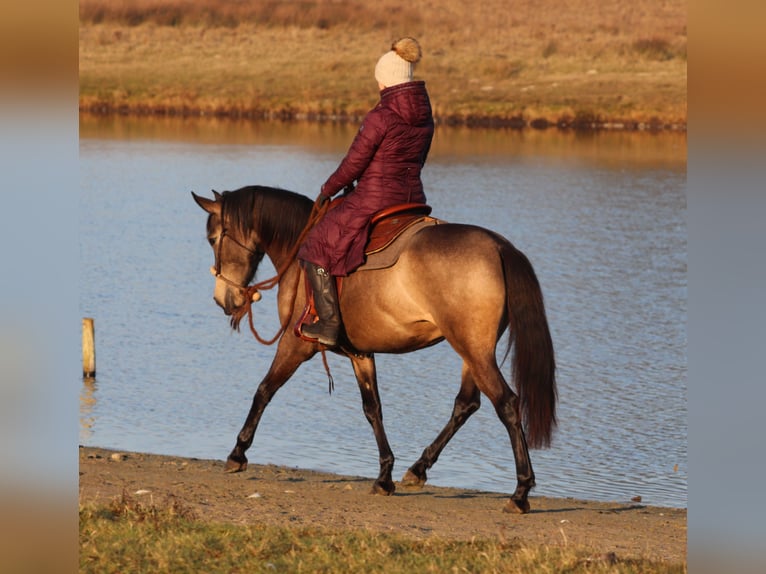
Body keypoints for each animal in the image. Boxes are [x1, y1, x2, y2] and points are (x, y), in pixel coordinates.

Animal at [192, 187, 560, 516]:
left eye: (212, 239)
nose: (223, 299)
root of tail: (500, 247)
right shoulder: (360, 354)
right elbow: (373, 409)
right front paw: (384, 476)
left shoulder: (296, 345)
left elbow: (264, 390)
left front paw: (238, 452)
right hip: (473, 352)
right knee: (466, 404)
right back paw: (419, 468)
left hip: (474, 350)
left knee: (507, 405)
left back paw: (520, 492)